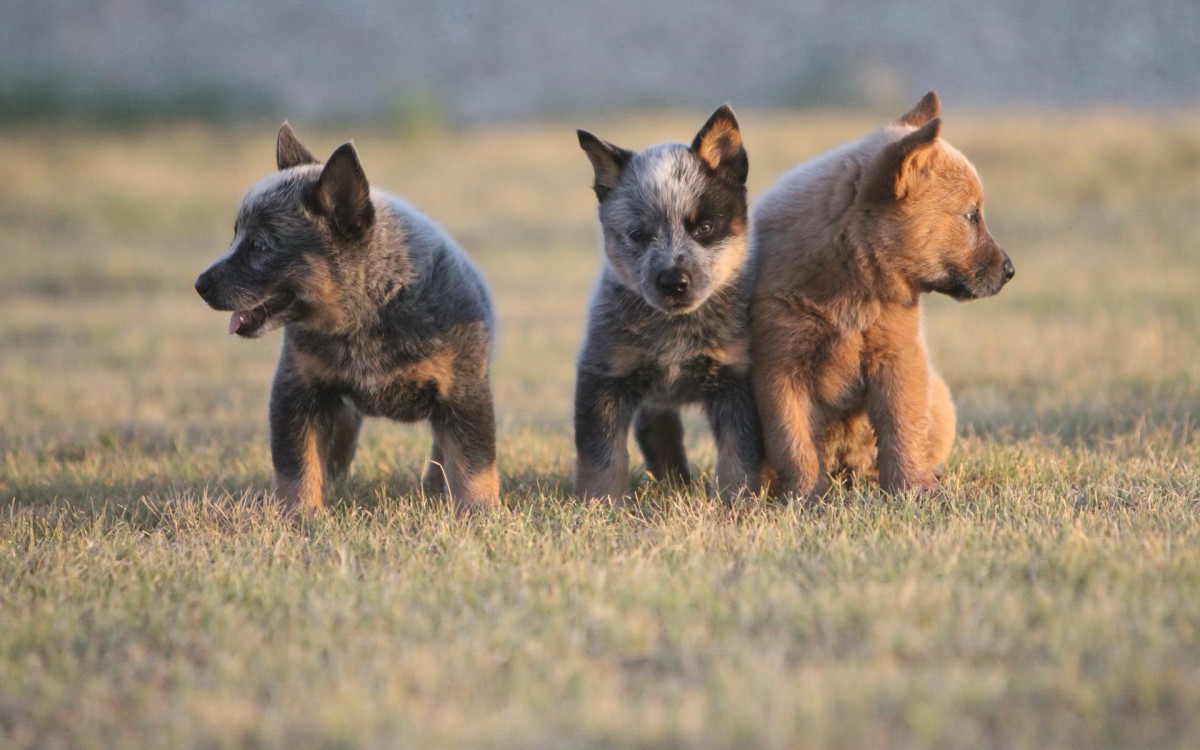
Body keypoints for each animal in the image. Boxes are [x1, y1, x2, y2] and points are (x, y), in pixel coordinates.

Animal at [196, 123, 496, 511]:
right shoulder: (298, 390)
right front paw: (299, 514)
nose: (199, 284)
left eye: (259, 246)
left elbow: (472, 465)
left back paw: (433, 485)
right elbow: (296, 464)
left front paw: (479, 513)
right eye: (235, 237)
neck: (367, 315)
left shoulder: (464, 391)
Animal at [748, 94, 1012, 504]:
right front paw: (806, 497)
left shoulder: (899, 354)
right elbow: (794, 441)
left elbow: (901, 427)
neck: (850, 286)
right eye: (972, 215)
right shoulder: (779, 367)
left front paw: (914, 489)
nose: (1010, 270)